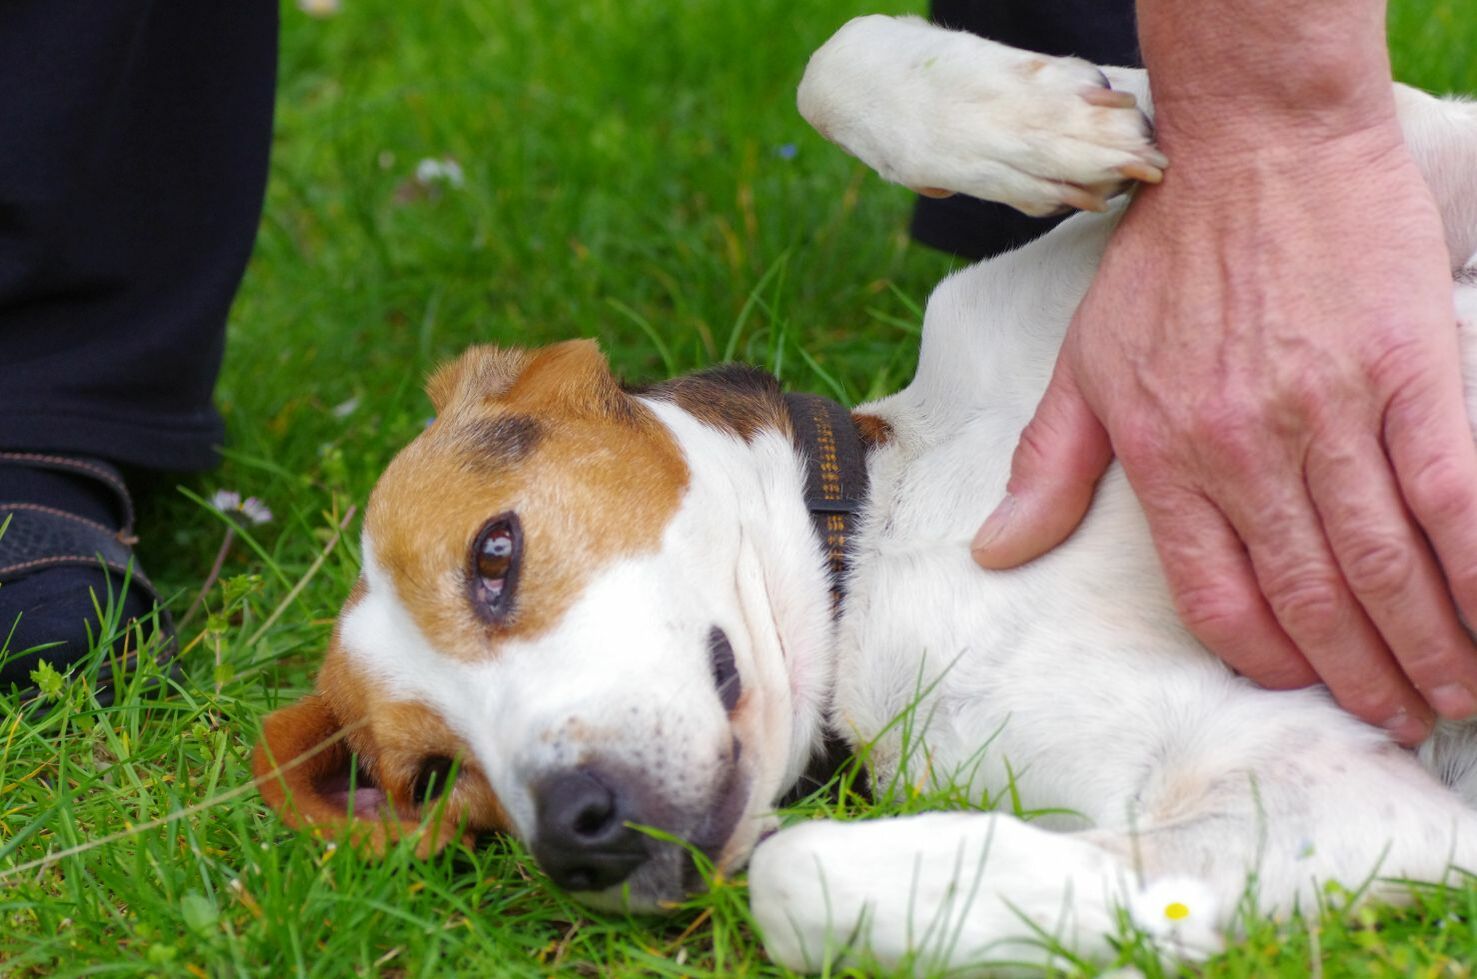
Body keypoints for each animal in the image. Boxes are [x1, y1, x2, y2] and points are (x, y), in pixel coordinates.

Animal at [251, 13, 1477, 974]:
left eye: (492, 556)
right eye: (433, 778)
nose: (574, 835)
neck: (890, 530)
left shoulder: (1396, 175)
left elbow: (832, 57)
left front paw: (1037, 118)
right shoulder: (1323, 795)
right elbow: (792, 874)